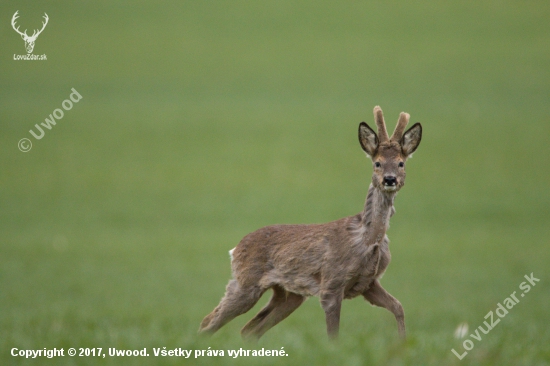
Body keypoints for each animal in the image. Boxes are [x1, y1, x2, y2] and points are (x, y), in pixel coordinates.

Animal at [201, 106, 424, 340]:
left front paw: (403, 343)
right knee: (209, 323)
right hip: (246, 282)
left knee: (249, 329)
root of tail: (235, 249)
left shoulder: (369, 283)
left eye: (401, 163)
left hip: (288, 294)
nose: (389, 179)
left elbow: (398, 307)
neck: (366, 240)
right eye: (377, 163)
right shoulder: (331, 283)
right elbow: (333, 335)